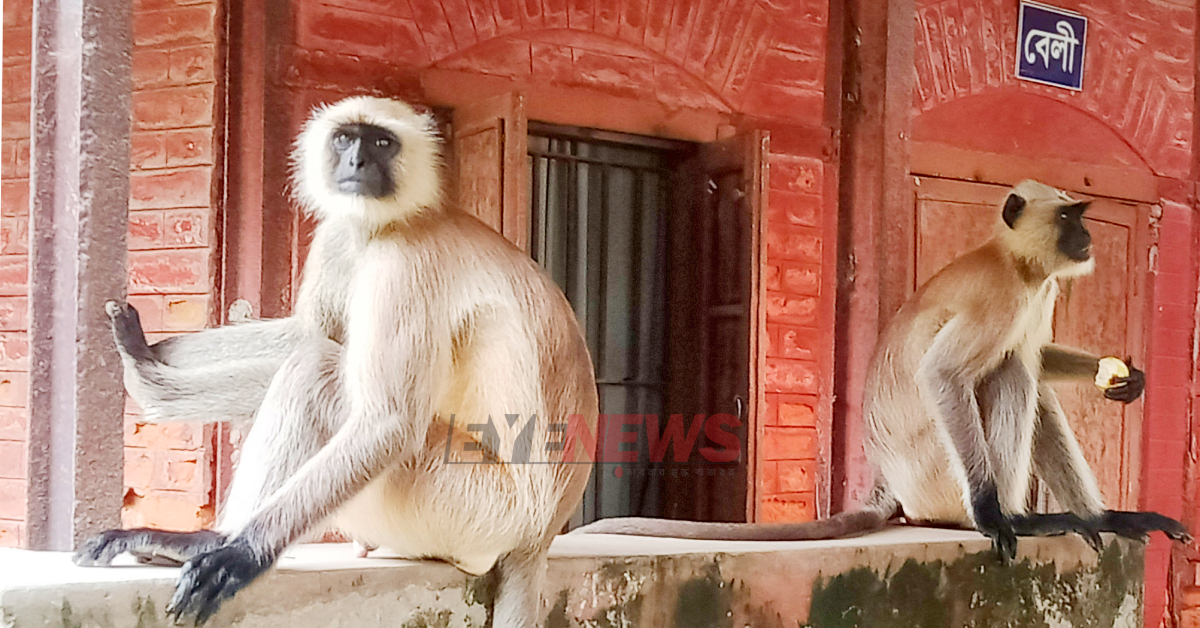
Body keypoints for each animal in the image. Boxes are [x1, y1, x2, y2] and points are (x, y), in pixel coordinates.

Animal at [75, 96, 600, 624]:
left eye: (382, 142)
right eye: (346, 138)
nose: (358, 163)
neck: (392, 220)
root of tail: (539, 534)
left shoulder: (405, 259)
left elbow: (387, 420)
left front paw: (241, 554)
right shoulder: (338, 235)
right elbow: (307, 333)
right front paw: (147, 359)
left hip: (473, 508)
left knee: (320, 374)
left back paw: (214, 540)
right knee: (316, 357)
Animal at [578, 180, 1190, 559]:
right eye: (1067, 217)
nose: (1086, 237)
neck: (1016, 264)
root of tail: (890, 482)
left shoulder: (1038, 292)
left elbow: (1039, 352)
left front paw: (1124, 377)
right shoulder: (1001, 296)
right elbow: (943, 376)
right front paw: (994, 515)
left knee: (1028, 373)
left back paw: (1106, 517)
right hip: (934, 479)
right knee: (1011, 373)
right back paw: (1017, 516)